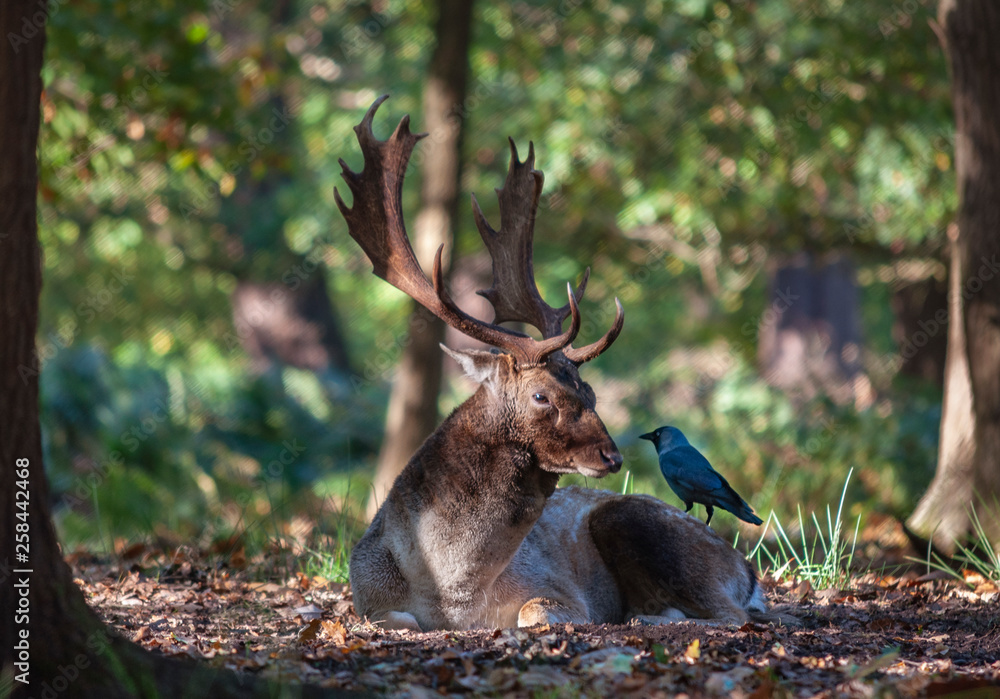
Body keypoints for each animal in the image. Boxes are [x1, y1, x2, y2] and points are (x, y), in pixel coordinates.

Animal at [338, 96, 795, 632]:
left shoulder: (559, 591)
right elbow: (395, 619)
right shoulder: (366, 597)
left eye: (591, 392)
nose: (612, 456)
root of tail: (748, 571)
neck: (451, 592)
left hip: (642, 522)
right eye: (541, 395)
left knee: (736, 615)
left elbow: (534, 612)